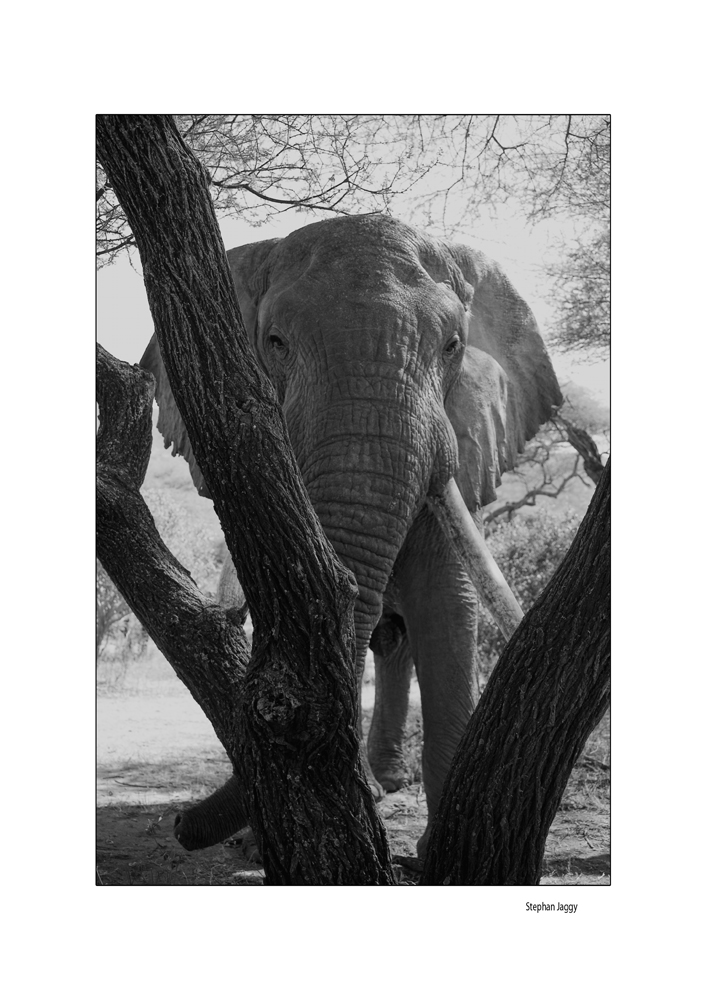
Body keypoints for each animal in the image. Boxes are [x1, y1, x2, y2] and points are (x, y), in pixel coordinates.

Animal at [141, 213, 564, 860]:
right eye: (275, 343)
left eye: (452, 346)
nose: (183, 826)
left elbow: (448, 601)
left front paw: (439, 852)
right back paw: (374, 784)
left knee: (398, 639)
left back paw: (382, 782)